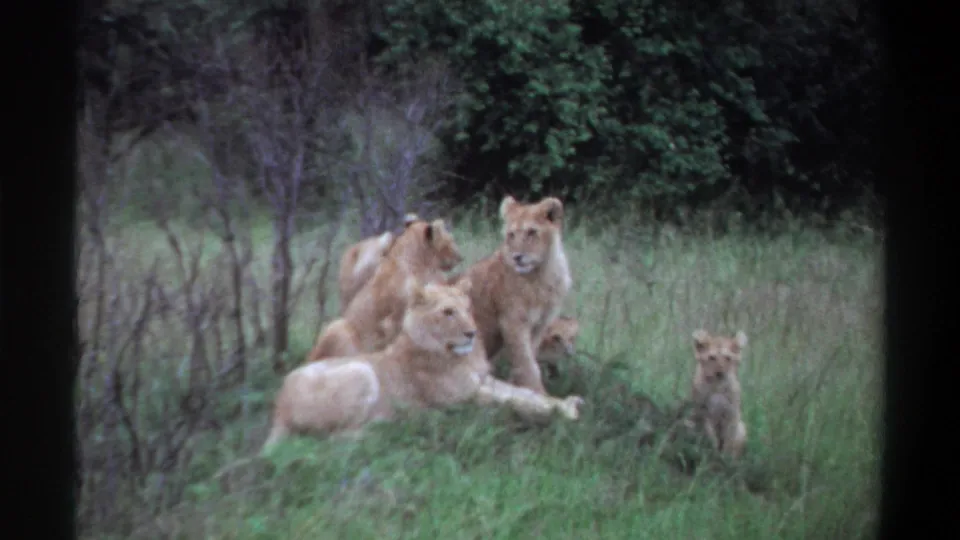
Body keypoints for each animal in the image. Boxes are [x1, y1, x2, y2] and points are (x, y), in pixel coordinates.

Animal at [263, 279, 585, 453]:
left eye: (467, 309)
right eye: (448, 312)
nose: (472, 333)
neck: (456, 354)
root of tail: (278, 405)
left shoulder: (482, 381)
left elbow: (524, 394)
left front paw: (565, 402)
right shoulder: (465, 396)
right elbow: (514, 402)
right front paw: (564, 412)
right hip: (361, 372)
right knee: (333, 439)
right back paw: (395, 425)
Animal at [450, 195, 573, 394]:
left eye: (531, 232)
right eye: (511, 235)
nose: (517, 257)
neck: (541, 275)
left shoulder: (540, 325)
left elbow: (527, 359)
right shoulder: (512, 322)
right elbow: (527, 364)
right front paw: (538, 394)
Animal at [690, 329, 749, 458]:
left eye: (728, 358)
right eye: (712, 357)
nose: (720, 373)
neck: (717, 386)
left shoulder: (731, 414)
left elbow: (729, 441)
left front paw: (725, 458)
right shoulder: (703, 412)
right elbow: (711, 435)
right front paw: (713, 452)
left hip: (742, 428)